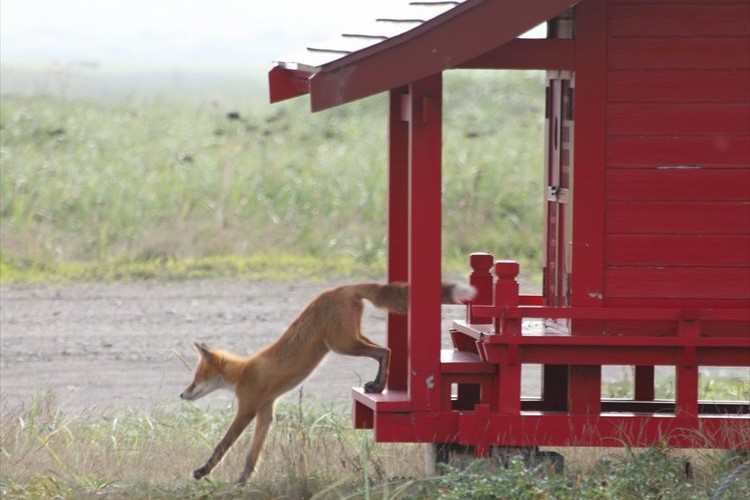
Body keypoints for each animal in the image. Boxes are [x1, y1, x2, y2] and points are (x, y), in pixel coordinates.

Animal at [179, 280, 476, 482]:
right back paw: (377, 384)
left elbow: (222, 445)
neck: (244, 371)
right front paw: (243, 480)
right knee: (385, 350)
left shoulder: (247, 409)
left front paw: (203, 471)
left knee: (384, 351)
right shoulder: (266, 410)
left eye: (197, 377)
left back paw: (378, 386)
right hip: (349, 339)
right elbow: (253, 453)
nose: (182, 395)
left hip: (341, 344)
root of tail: (344, 287)